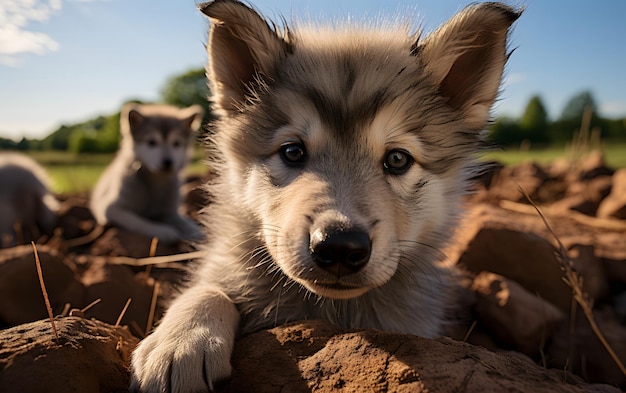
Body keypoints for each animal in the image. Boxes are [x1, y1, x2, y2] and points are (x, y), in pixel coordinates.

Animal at [91, 102, 202, 242]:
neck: (155, 182)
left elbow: (186, 223)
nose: (168, 162)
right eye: (151, 142)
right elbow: (139, 222)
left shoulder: (170, 213)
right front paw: (163, 230)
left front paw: (199, 233)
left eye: (176, 143)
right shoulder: (110, 208)